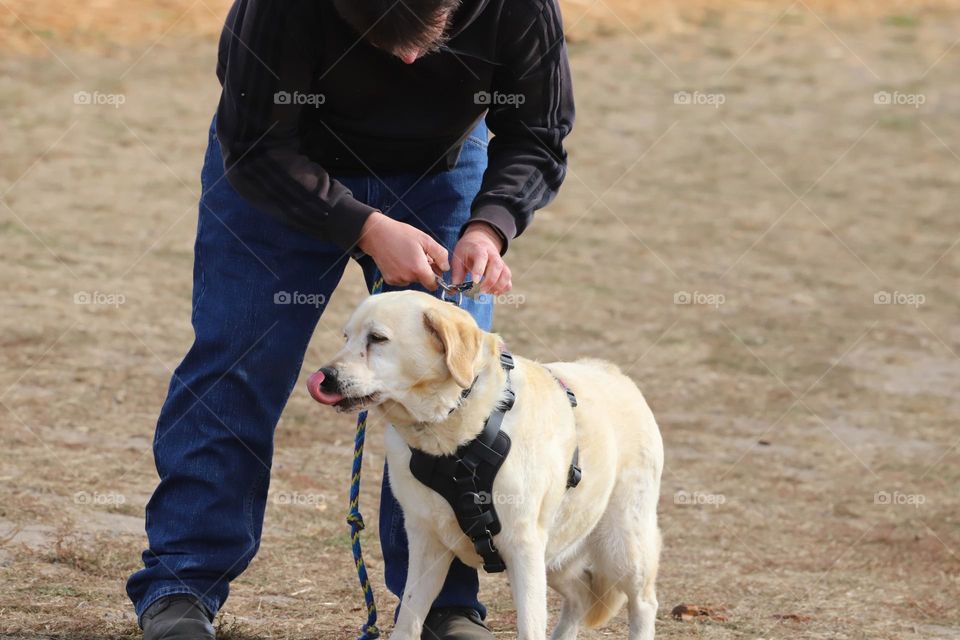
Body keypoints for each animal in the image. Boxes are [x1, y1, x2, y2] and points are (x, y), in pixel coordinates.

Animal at [306, 292, 660, 640]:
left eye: (377, 338)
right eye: (346, 337)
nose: (325, 378)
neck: (451, 436)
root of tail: (613, 372)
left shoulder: (523, 544)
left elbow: (530, 628)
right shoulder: (425, 541)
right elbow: (408, 620)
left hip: (619, 547)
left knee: (643, 602)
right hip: (557, 552)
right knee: (580, 595)